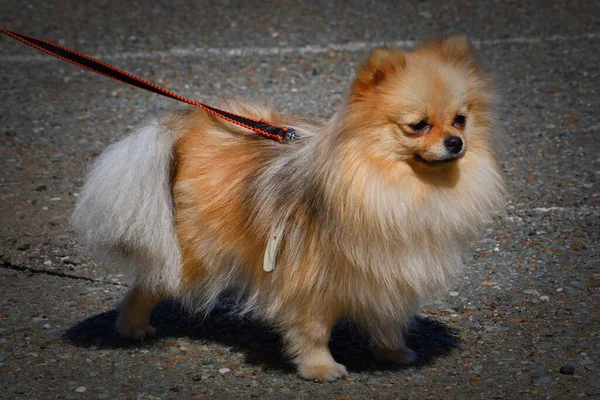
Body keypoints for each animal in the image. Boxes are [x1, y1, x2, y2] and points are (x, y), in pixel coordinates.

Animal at [74, 35, 506, 382]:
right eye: (418, 125)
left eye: (460, 120)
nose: (455, 142)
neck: (389, 183)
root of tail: (189, 128)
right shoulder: (309, 277)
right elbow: (313, 329)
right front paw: (320, 368)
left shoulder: (388, 268)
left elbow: (387, 317)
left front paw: (392, 352)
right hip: (199, 251)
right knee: (151, 281)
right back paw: (133, 326)